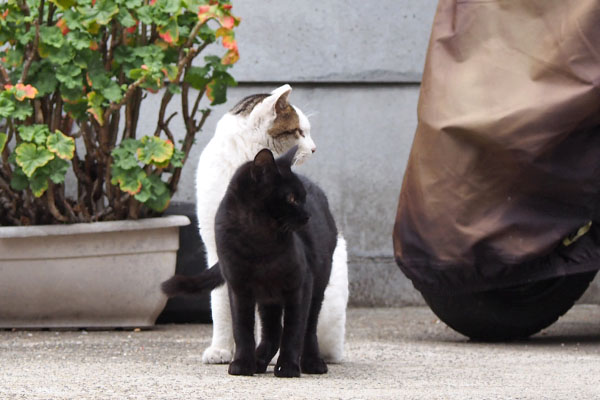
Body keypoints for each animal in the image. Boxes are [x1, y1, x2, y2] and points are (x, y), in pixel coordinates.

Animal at [162, 145, 338, 376]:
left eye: (303, 197)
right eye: (291, 198)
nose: (308, 215)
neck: (259, 240)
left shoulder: (300, 285)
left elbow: (294, 329)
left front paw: (287, 367)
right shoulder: (238, 288)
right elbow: (242, 328)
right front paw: (242, 364)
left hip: (317, 284)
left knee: (309, 326)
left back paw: (312, 362)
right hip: (268, 298)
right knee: (272, 330)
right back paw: (259, 360)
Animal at [195, 85, 350, 366]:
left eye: (307, 131)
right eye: (299, 132)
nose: (314, 149)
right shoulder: (218, 251)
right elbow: (222, 306)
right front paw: (222, 349)